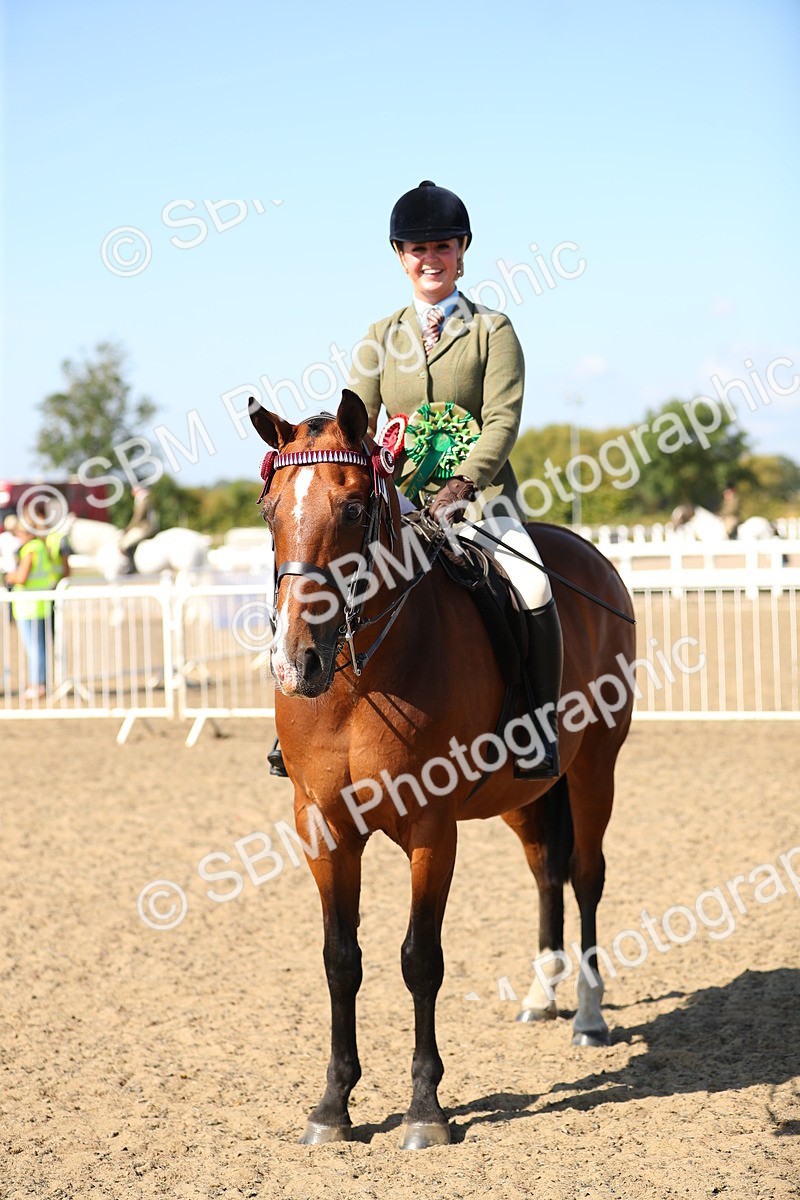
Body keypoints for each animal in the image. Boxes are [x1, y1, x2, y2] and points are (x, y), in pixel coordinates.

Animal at [250, 390, 636, 1150]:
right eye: (270, 510)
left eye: (352, 509)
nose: (295, 662)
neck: (356, 681)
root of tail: (587, 553)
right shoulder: (323, 825)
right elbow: (341, 959)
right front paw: (332, 1106)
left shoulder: (431, 827)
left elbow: (419, 958)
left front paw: (426, 1108)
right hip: (525, 795)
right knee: (546, 871)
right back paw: (541, 997)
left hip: (594, 770)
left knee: (584, 876)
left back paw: (587, 1015)